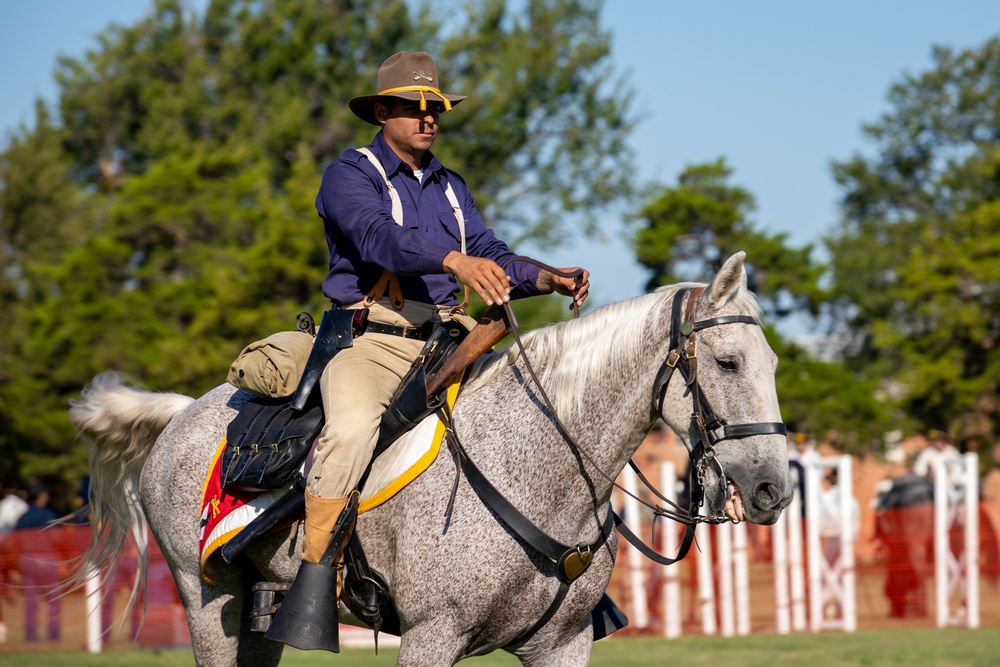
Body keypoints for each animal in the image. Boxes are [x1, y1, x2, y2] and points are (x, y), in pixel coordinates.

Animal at [68, 253, 788, 664]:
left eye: (774, 363)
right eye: (728, 362)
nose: (772, 490)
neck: (535, 468)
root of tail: (182, 411)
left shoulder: (562, 645)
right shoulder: (429, 637)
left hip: (255, 612)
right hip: (207, 599)